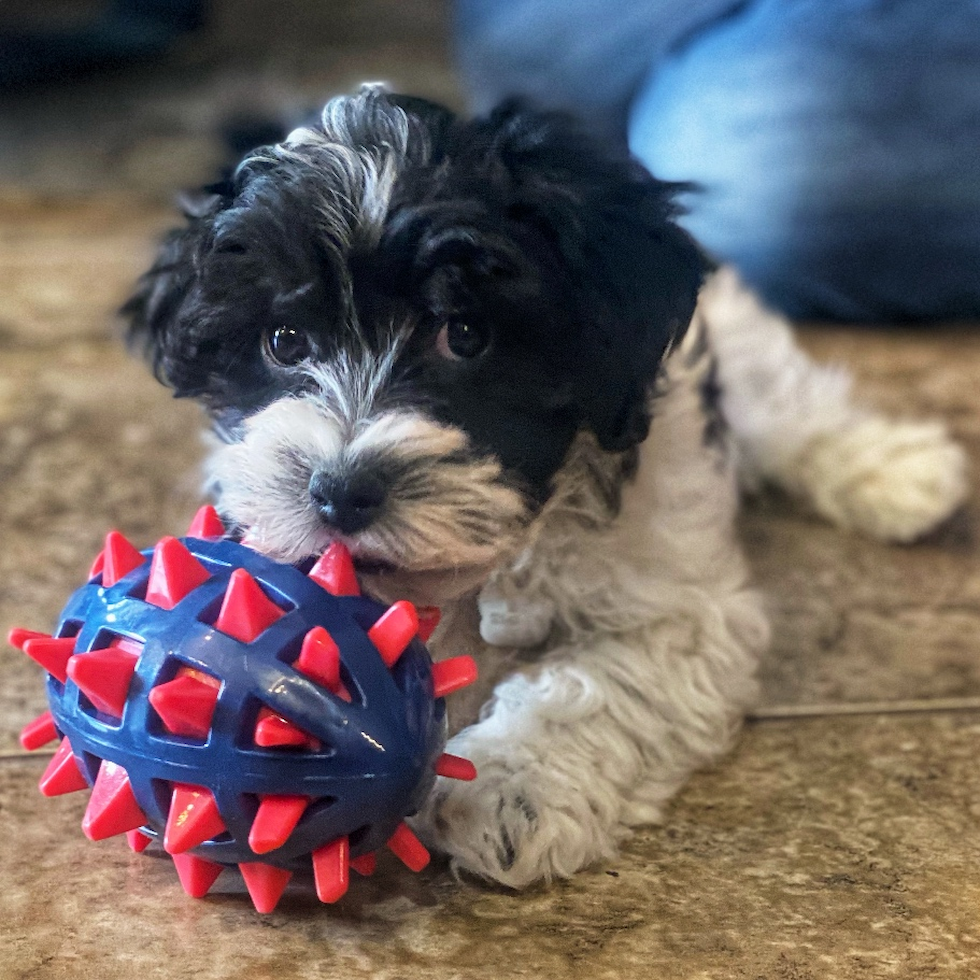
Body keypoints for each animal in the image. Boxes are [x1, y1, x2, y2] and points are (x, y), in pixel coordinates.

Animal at [122, 84, 964, 888]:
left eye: (465, 335)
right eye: (283, 341)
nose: (339, 492)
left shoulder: (682, 611)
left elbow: (601, 684)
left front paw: (506, 787)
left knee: (790, 410)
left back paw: (900, 473)